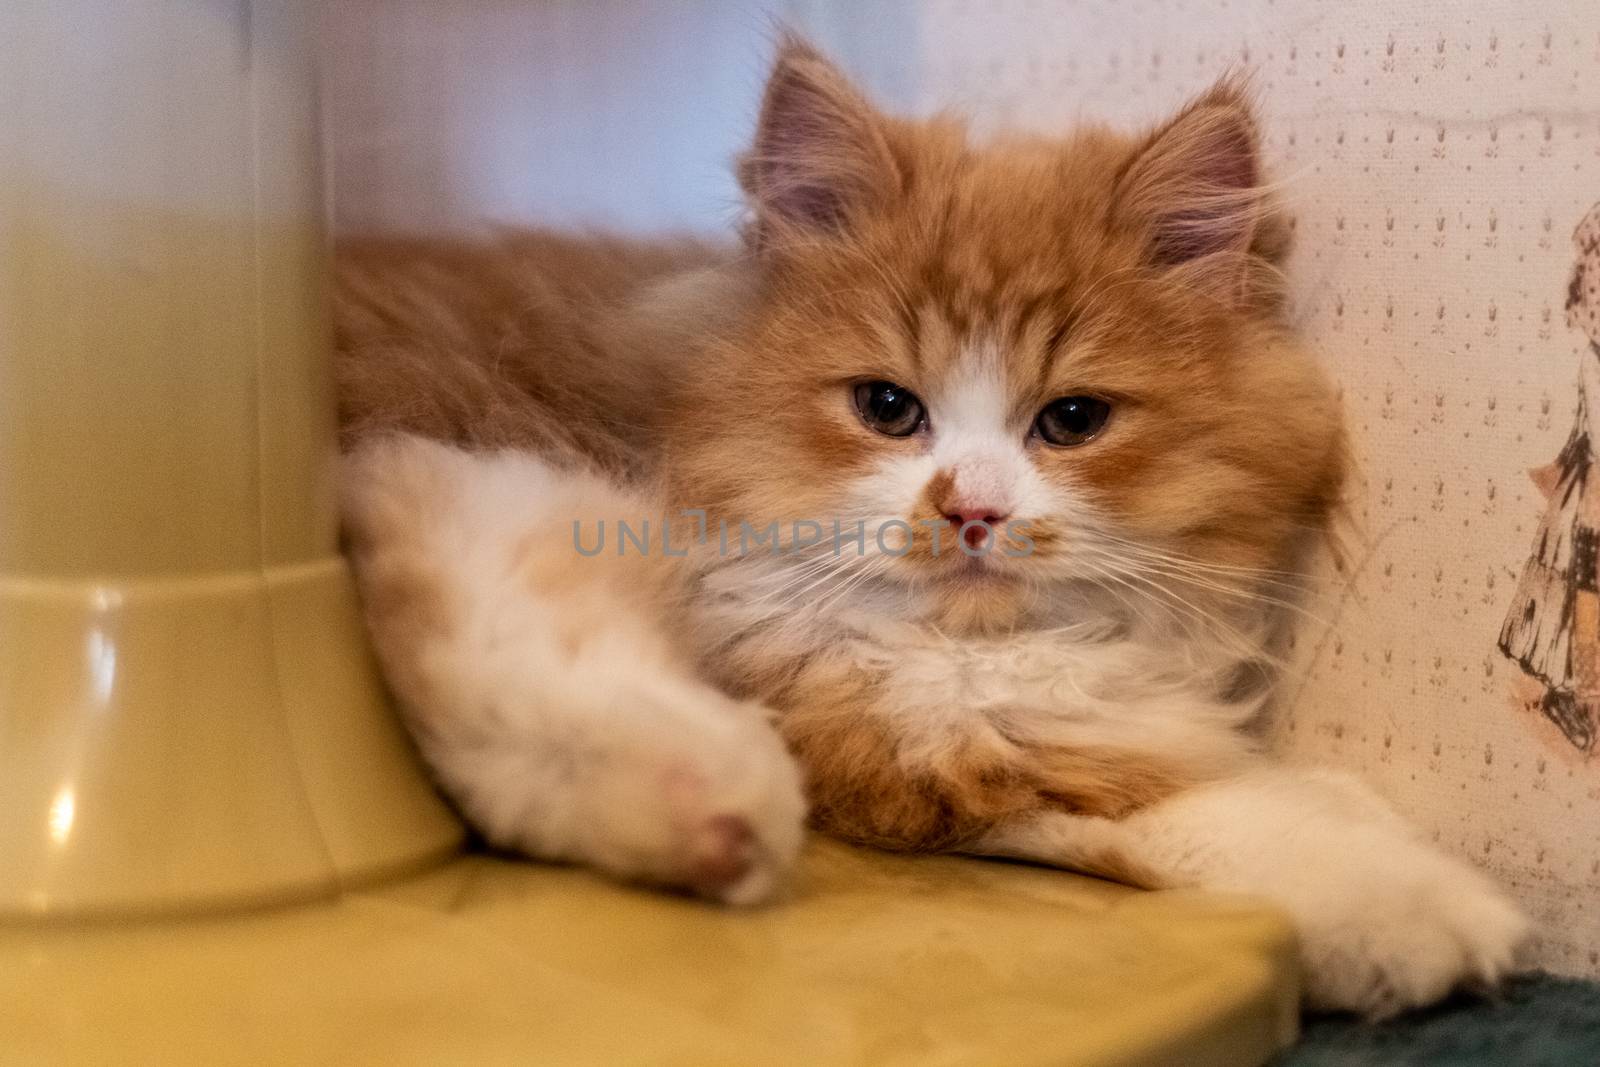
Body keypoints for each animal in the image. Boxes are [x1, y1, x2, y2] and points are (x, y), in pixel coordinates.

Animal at [334, 37, 1523, 1017]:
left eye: (1073, 420)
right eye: (887, 407)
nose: (970, 508)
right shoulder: (874, 724)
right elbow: (1140, 806)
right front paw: (1405, 902)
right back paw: (719, 806)